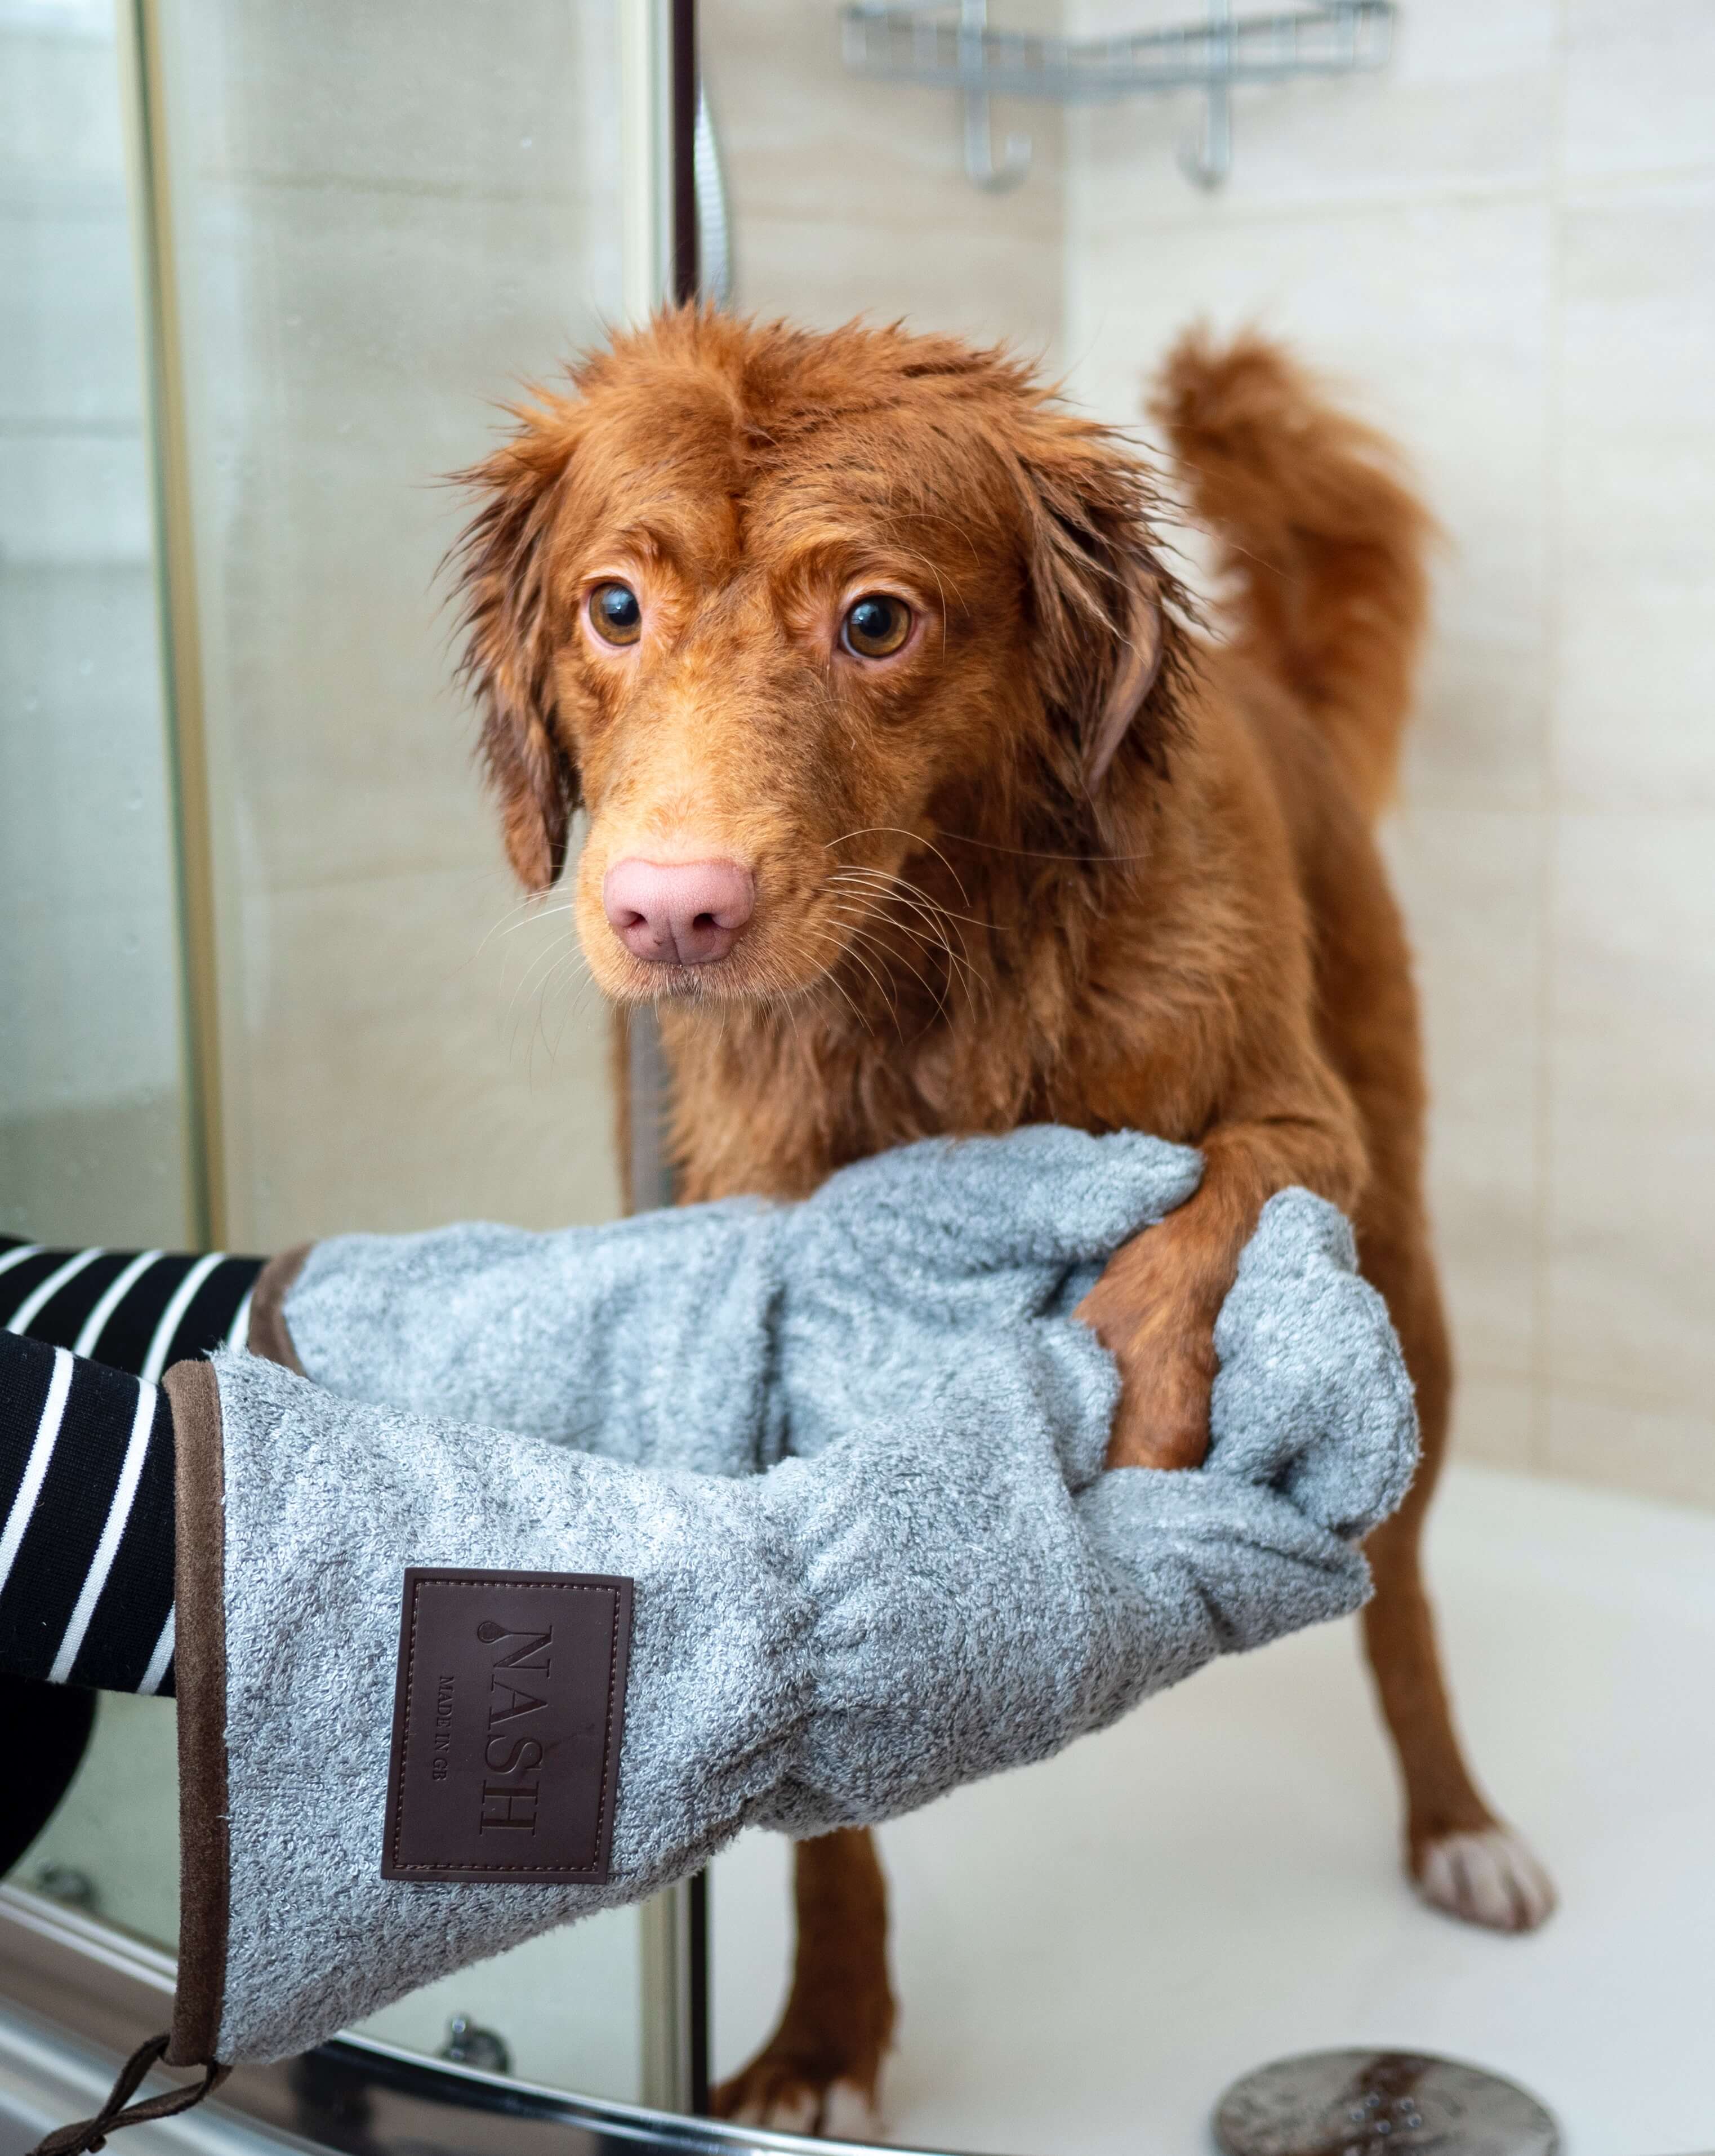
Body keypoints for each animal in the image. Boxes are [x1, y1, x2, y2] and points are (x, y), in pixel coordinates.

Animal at [452, 312, 1551, 2130]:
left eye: (874, 620)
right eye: (614, 607)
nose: (672, 911)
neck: (927, 988)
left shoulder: (1296, 1123)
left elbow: (1197, 1217)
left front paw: (1140, 1397)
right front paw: (822, 2036)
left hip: (1408, 1258)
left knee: (1403, 1598)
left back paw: (1460, 1824)